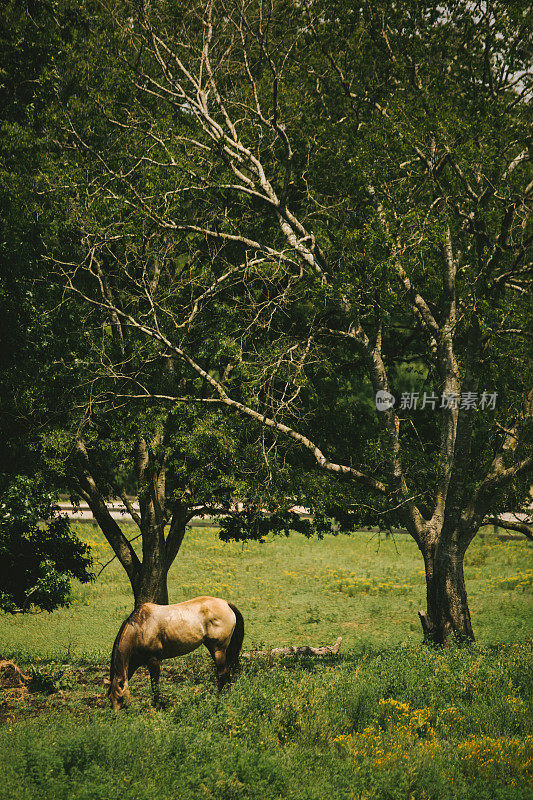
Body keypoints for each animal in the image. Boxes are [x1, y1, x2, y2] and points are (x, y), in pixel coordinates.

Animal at [105, 596, 245, 708]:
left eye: (120, 699)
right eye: (110, 699)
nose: (116, 717)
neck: (141, 627)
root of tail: (226, 604)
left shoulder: (154, 661)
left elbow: (154, 684)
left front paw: (157, 705)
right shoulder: (135, 662)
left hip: (218, 650)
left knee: (222, 673)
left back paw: (219, 697)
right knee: (227, 672)